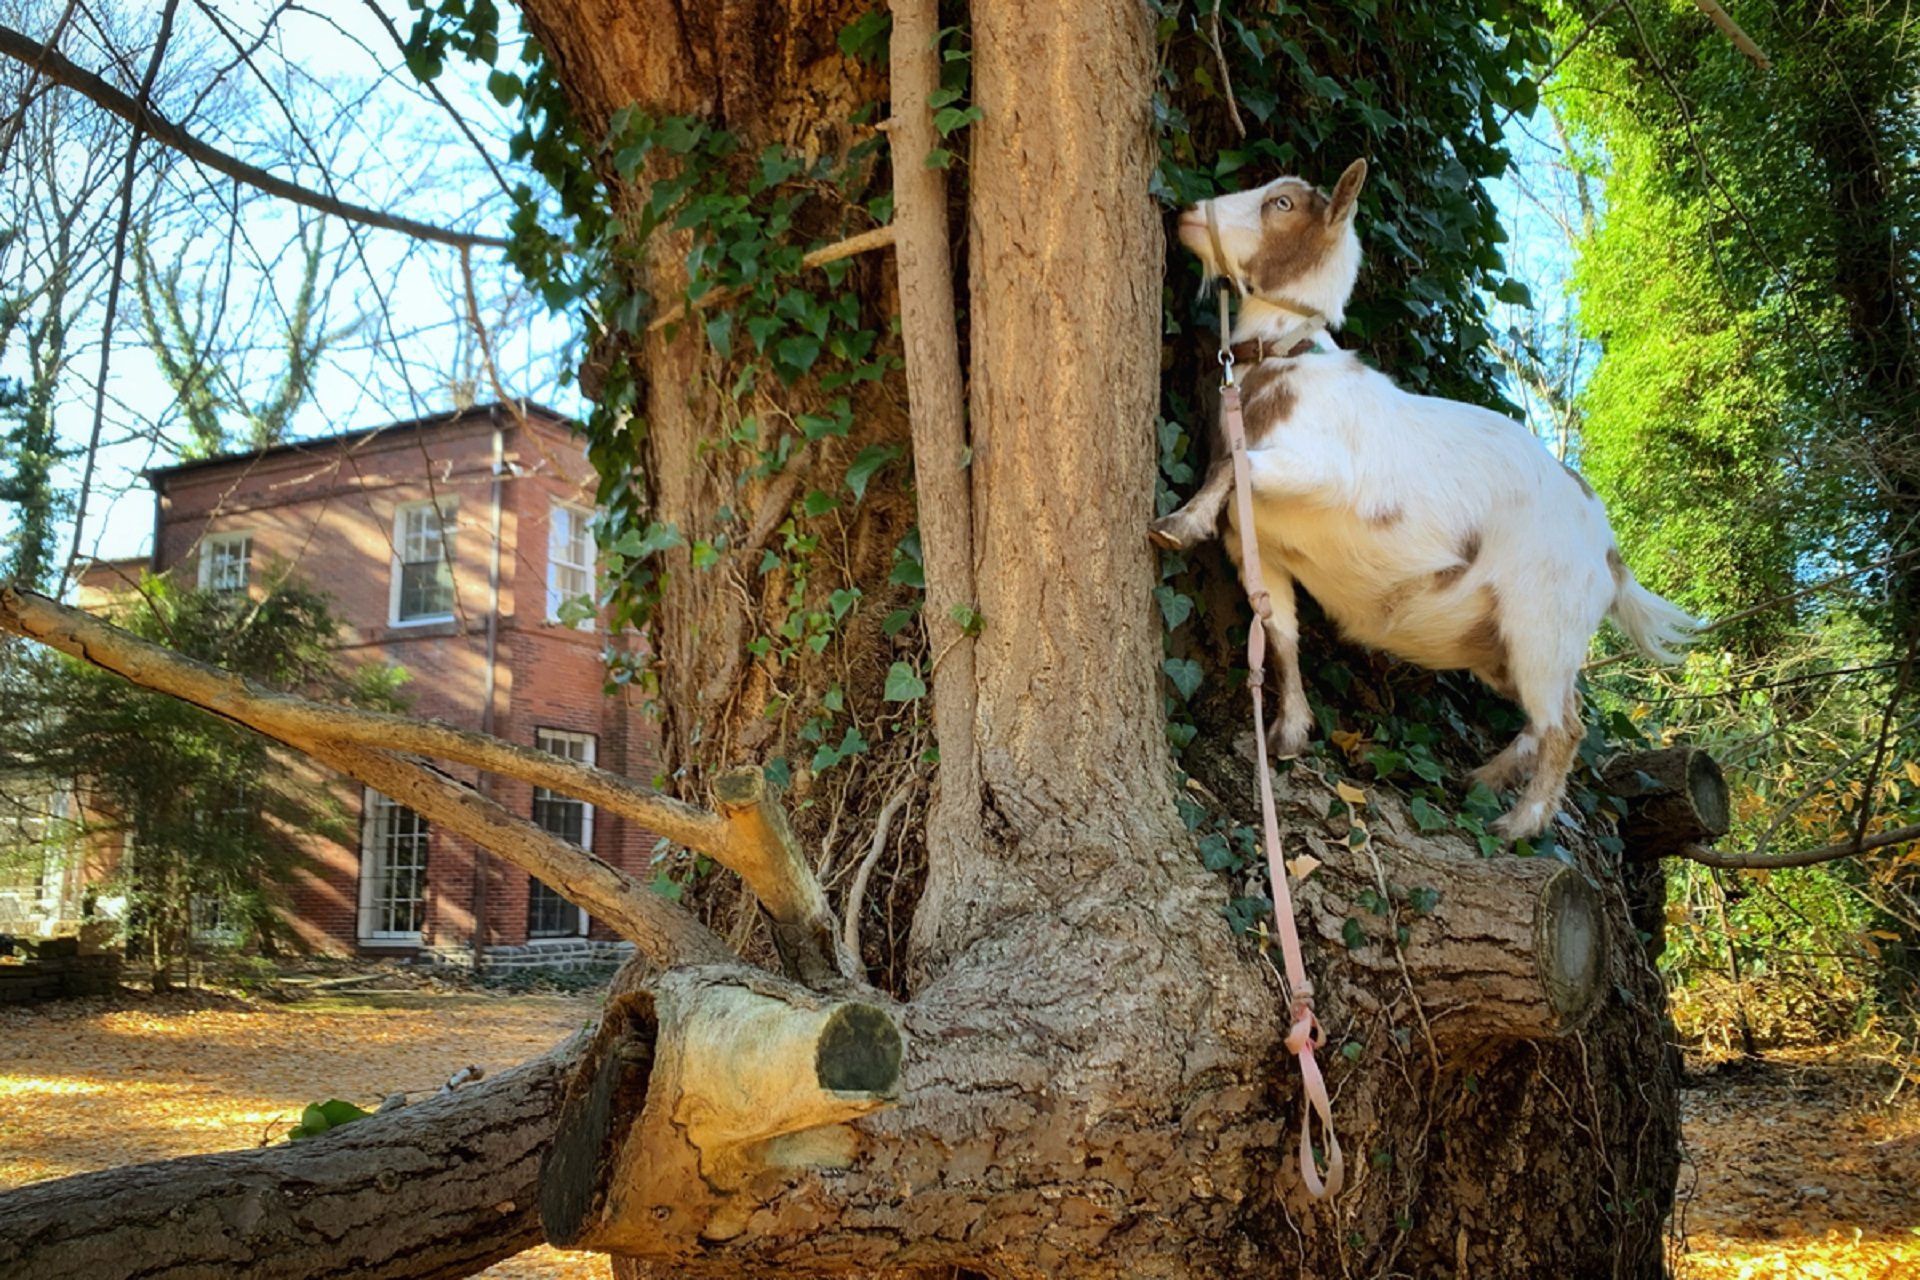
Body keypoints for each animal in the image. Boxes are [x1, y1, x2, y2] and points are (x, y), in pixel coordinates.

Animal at [1152, 160, 1697, 840]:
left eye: (1282, 203)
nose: (1187, 212)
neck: (1285, 362)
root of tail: (1610, 551)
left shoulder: (1330, 473)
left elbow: (1236, 462)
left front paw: (1178, 523)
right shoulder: (1264, 551)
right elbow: (1281, 637)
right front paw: (1290, 732)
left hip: (1545, 623)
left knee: (1566, 726)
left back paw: (1518, 824)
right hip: (1506, 643)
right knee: (1544, 715)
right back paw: (1483, 780)